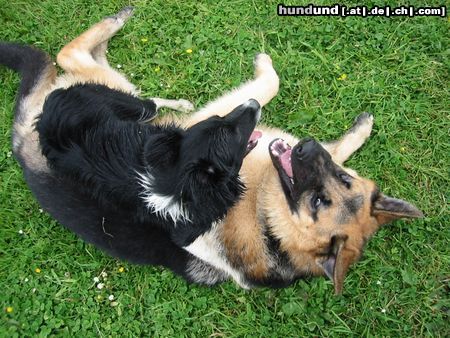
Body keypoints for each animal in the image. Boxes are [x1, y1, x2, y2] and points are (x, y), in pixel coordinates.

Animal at [0, 7, 422, 294]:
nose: (306, 148)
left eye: (320, 201)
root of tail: (23, 144)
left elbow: (270, 94)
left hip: (120, 100)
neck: (270, 221)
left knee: (71, 57)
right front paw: (360, 127)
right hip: (129, 103)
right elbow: (284, 99)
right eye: (340, 181)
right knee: (74, 58)